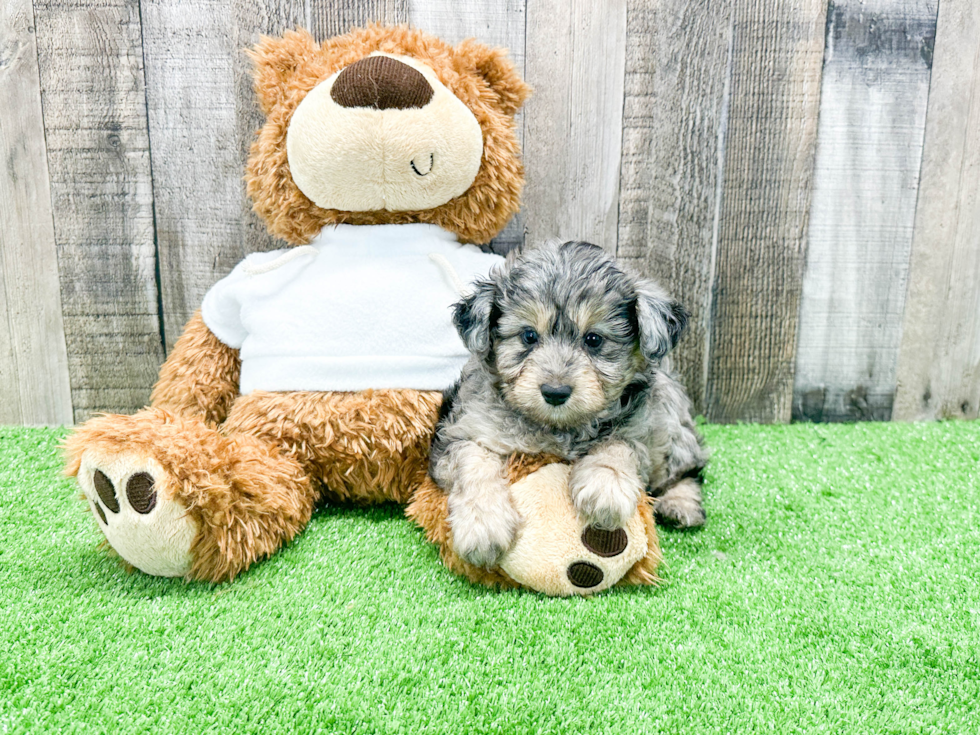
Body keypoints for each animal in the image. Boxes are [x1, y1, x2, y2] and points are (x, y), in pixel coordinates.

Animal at [432, 239, 708, 568]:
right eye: (528, 336)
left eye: (594, 339)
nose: (555, 392)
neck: (558, 427)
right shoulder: (464, 430)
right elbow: (473, 462)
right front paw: (483, 523)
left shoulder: (641, 426)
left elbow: (619, 443)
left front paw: (605, 485)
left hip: (671, 421)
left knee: (689, 467)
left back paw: (681, 504)